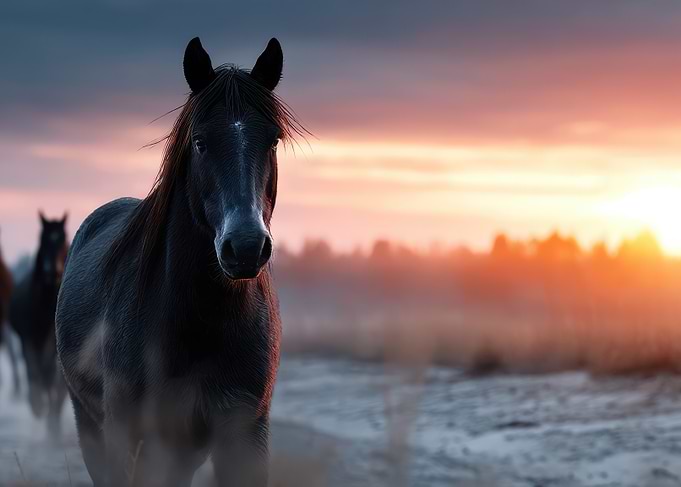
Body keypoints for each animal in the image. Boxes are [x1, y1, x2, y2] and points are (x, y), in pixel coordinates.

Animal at [10, 212, 69, 432]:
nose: (52, 272)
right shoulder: (28, 338)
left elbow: (51, 374)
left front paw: (52, 416)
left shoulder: (54, 341)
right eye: (43, 239)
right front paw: (37, 405)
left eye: (63, 239)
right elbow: (33, 369)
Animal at [56, 37, 304, 487]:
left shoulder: (244, 433)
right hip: (93, 426)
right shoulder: (131, 437)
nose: (245, 246)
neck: (201, 321)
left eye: (273, 141)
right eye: (201, 141)